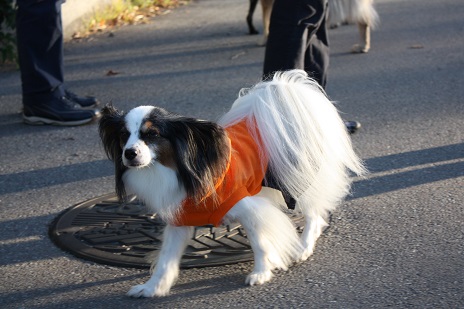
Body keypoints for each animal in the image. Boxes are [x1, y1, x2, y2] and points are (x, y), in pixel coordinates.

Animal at [99, 69, 366, 296]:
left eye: (152, 134)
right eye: (124, 136)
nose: (129, 154)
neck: (186, 168)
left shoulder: (249, 208)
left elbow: (260, 243)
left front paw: (261, 272)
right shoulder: (181, 220)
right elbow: (166, 259)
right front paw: (152, 288)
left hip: (296, 180)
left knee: (315, 213)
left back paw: (304, 246)